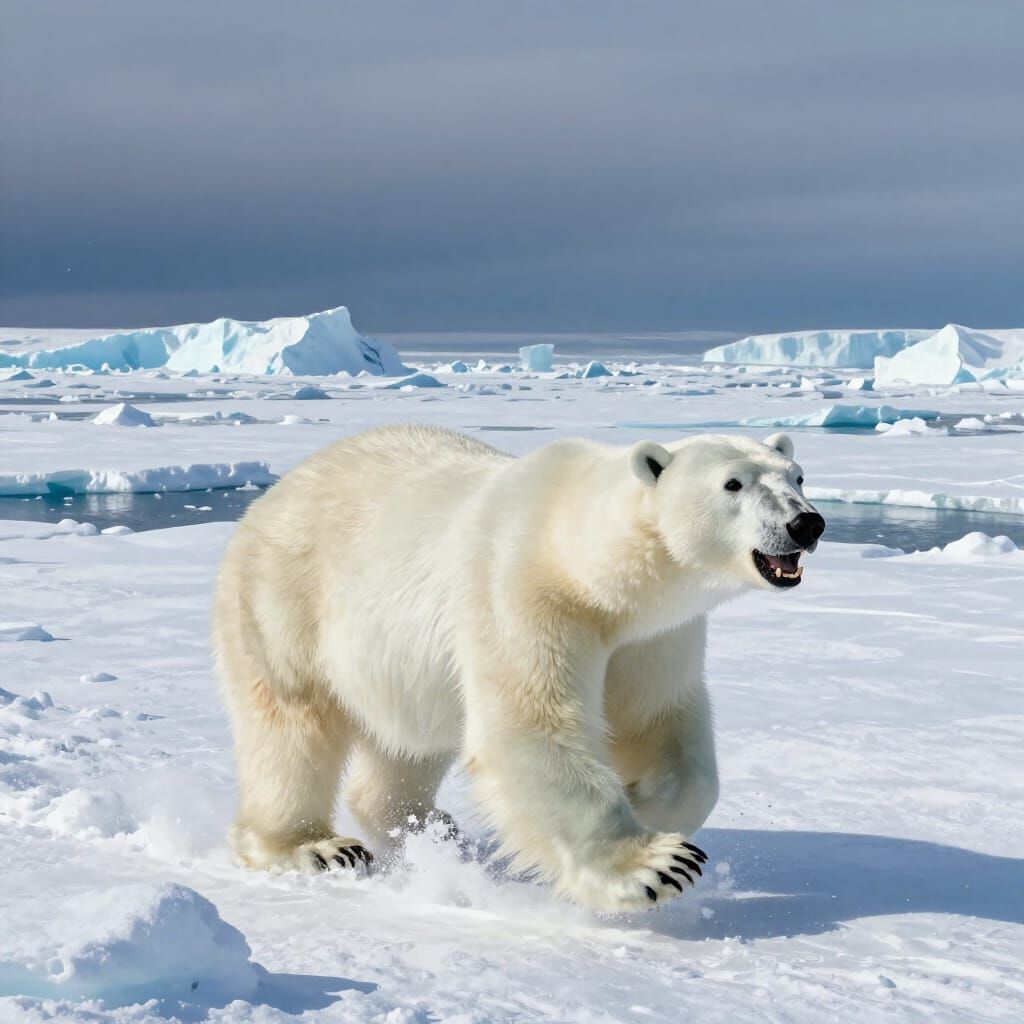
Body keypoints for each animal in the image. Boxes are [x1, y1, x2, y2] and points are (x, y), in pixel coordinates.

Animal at [212, 424, 824, 912]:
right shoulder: (521, 591)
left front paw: (647, 805)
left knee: (410, 743)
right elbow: (529, 725)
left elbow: (659, 724)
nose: (807, 524)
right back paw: (314, 847)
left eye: (797, 476)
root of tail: (273, 495)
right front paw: (658, 865)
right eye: (733, 484)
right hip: (283, 601)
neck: (581, 556)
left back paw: (430, 828)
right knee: (293, 727)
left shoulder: (654, 634)